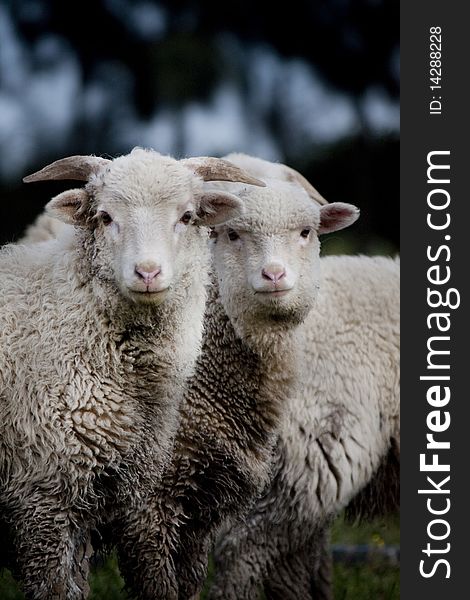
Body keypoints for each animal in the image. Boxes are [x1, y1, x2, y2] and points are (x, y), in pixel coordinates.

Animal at [114, 166, 360, 596]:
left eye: (306, 232)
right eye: (232, 234)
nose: (274, 275)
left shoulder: (203, 505)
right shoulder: (148, 507)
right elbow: (160, 585)